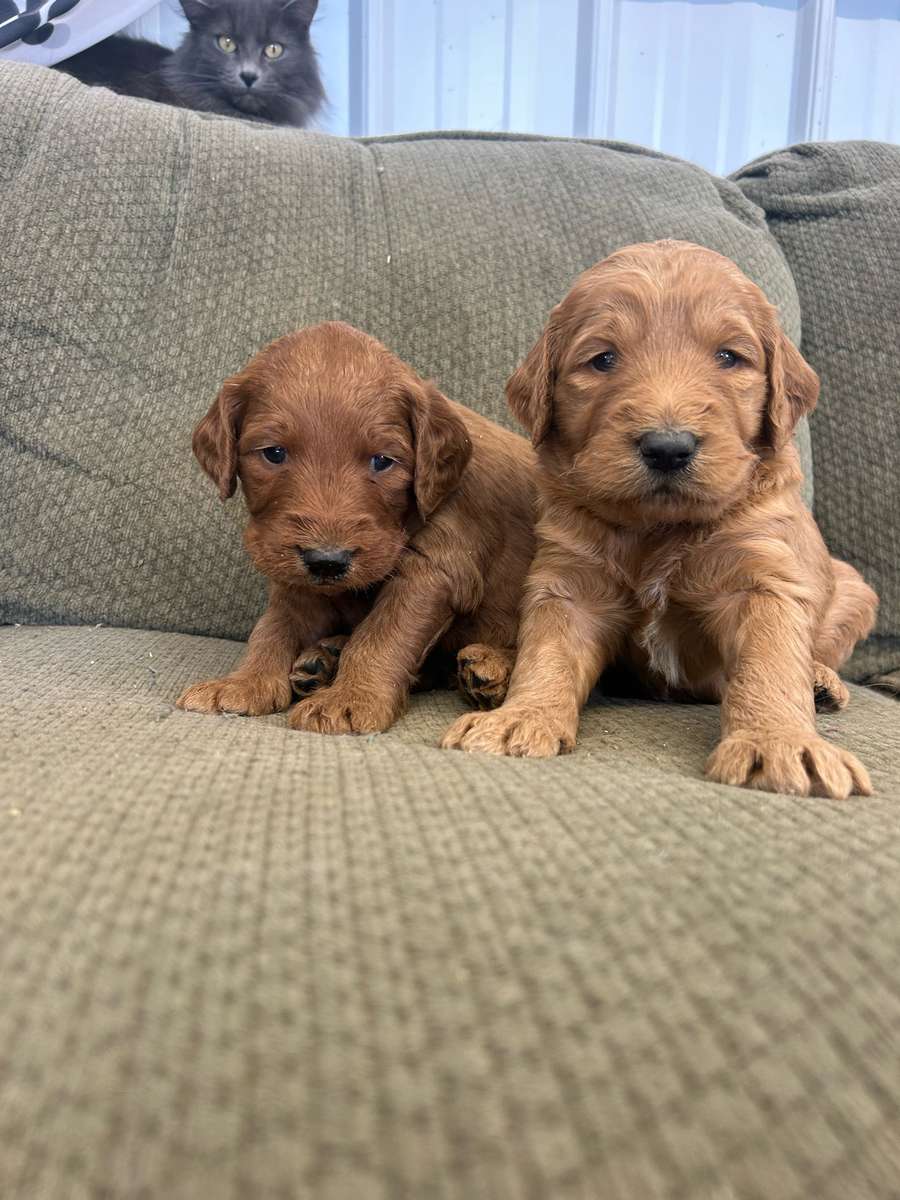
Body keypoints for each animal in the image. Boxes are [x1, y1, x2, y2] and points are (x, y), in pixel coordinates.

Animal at [180, 319, 540, 729]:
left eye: (382, 461)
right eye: (273, 453)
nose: (327, 561)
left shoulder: (436, 568)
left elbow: (380, 637)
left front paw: (350, 698)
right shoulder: (291, 565)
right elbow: (272, 628)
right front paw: (244, 682)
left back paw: (492, 670)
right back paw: (324, 660)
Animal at [444, 240, 883, 801]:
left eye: (729, 357)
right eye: (603, 359)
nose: (668, 448)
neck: (657, 528)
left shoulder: (761, 579)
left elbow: (768, 664)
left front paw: (779, 742)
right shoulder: (570, 582)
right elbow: (547, 651)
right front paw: (521, 716)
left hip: (853, 589)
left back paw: (821, 681)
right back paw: (495, 665)